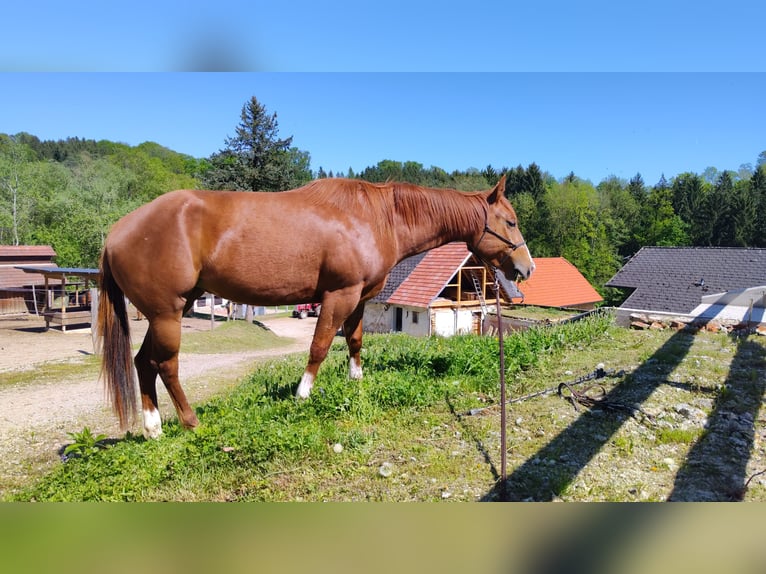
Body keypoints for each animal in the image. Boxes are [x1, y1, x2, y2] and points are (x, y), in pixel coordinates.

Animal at [98, 176, 535, 438]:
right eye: (511, 222)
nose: (526, 268)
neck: (376, 216)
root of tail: (117, 231)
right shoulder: (339, 295)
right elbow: (320, 344)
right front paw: (302, 393)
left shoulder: (359, 296)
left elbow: (354, 341)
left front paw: (356, 381)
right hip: (167, 314)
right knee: (166, 365)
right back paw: (190, 422)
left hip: (166, 312)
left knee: (143, 363)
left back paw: (154, 427)